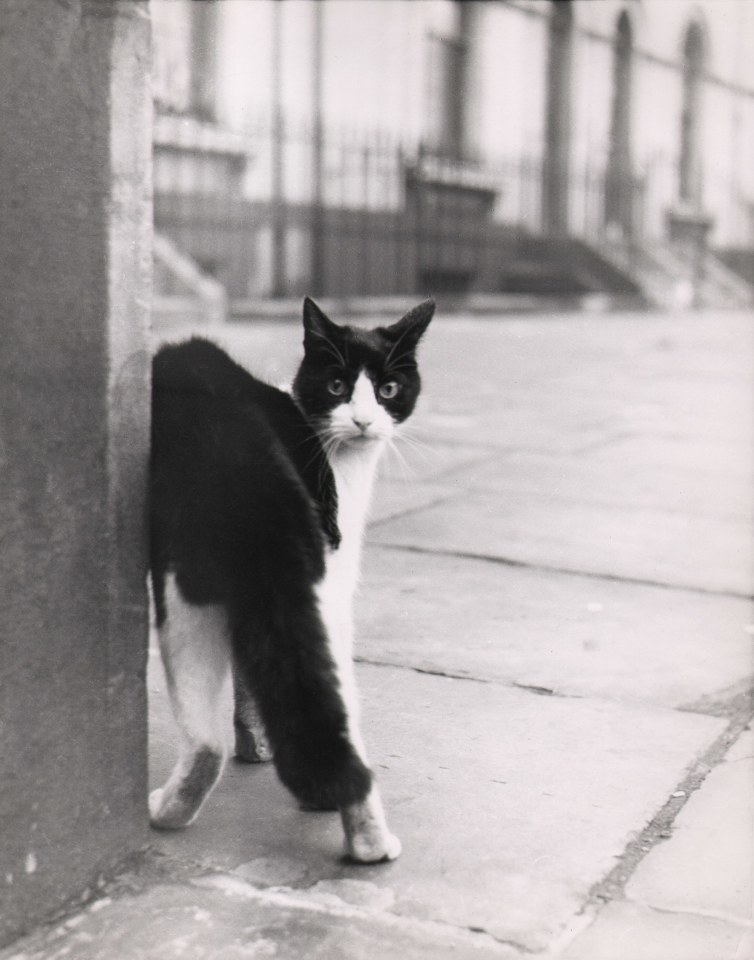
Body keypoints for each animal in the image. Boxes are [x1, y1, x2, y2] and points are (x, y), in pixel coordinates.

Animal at [147, 294, 432, 864]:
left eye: (388, 389)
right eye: (337, 386)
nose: (364, 421)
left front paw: (255, 742)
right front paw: (260, 742)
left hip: (190, 590)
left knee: (206, 743)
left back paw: (167, 811)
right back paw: (368, 840)